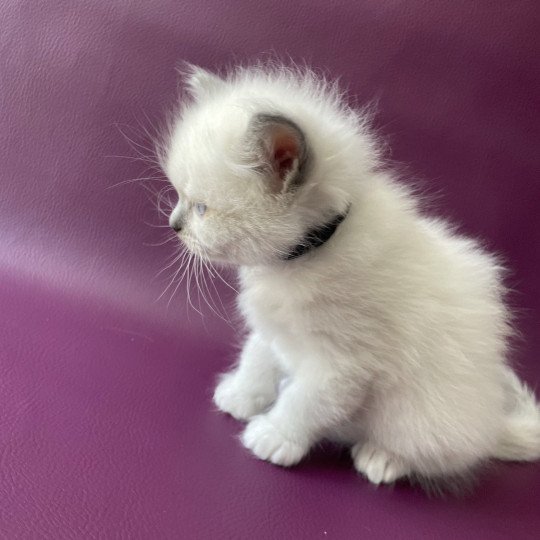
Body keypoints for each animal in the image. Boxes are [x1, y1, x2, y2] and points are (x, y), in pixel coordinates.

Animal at [161, 63, 540, 486]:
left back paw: (381, 458)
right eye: (178, 195)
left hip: (419, 415)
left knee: (432, 452)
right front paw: (242, 396)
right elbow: (256, 359)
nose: (173, 224)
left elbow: (304, 403)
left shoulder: (343, 364)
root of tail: (492, 421)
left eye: (201, 209)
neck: (303, 258)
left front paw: (273, 437)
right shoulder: (273, 330)